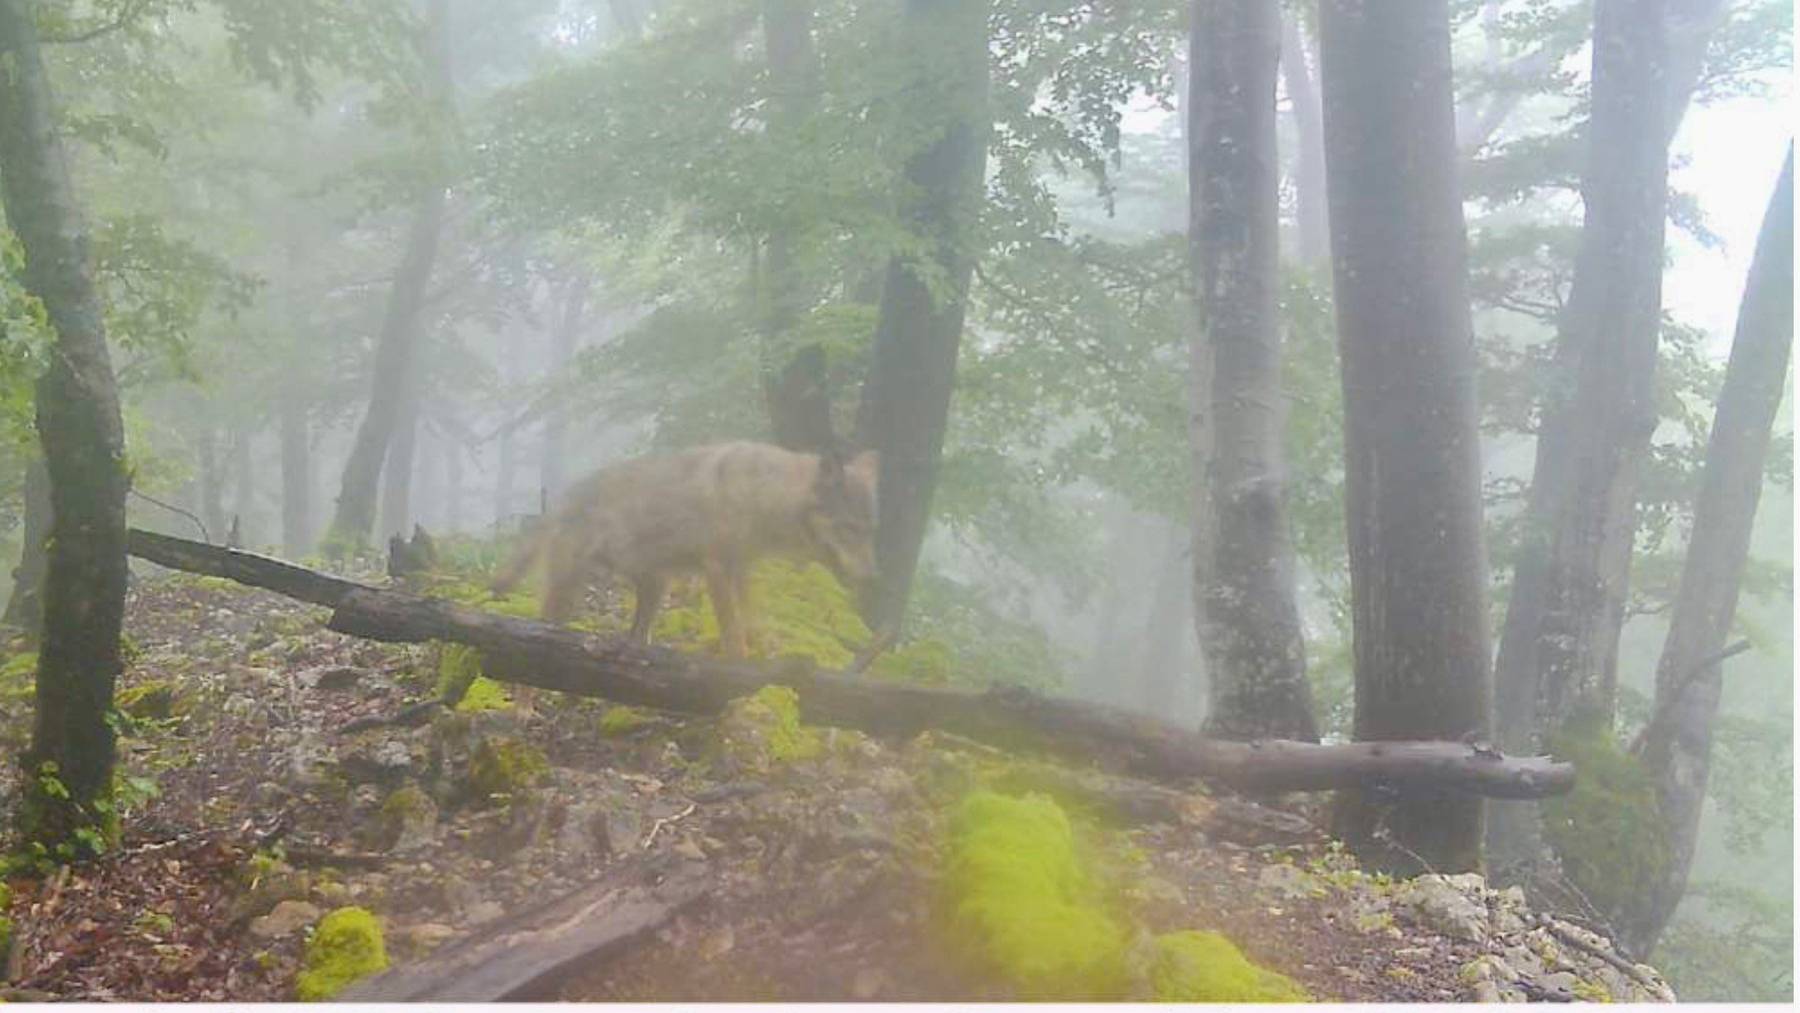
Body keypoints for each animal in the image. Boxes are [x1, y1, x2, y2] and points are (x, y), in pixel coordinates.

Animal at [493, 442, 878, 662]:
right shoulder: (717, 568)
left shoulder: (742, 568)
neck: (761, 493)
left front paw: (766, 648)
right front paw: (741, 666)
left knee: (638, 635)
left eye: (869, 530)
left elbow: (752, 617)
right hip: (564, 596)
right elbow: (733, 632)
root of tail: (560, 501)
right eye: (848, 529)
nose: (871, 577)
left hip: (655, 590)